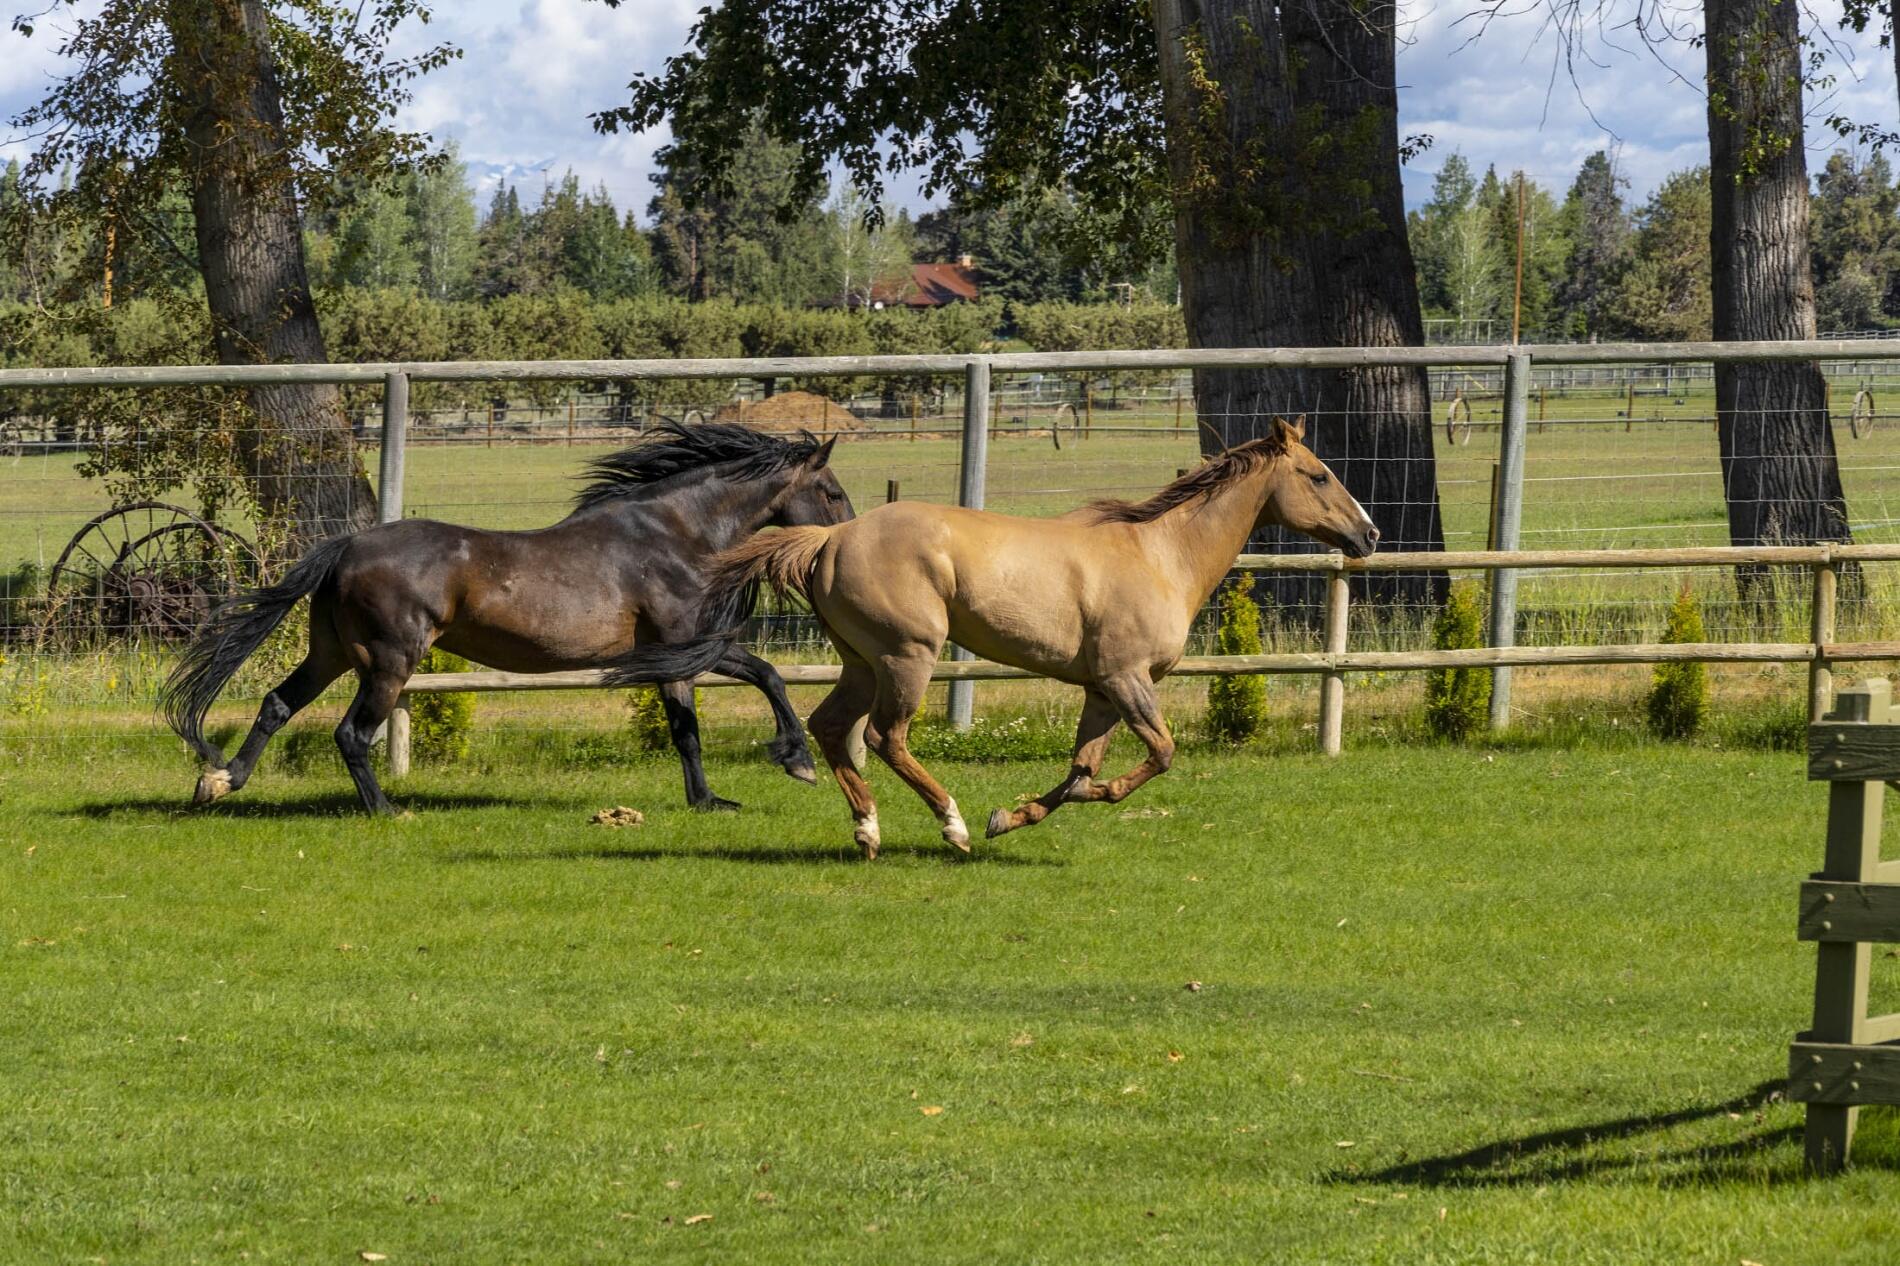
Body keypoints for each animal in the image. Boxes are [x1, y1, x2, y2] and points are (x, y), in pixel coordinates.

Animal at [161, 422, 854, 815]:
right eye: (832, 492)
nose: (849, 537)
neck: (675, 535)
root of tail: (346, 548)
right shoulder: (687, 643)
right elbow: (767, 676)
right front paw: (797, 761)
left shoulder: (674, 658)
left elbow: (687, 730)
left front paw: (708, 802)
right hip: (389, 662)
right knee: (351, 734)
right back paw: (387, 811)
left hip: (331, 653)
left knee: (279, 704)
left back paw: (218, 781)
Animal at [605, 416, 1377, 858]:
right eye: (1319, 475)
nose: (1368, 534)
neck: (1160, 554)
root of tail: (829, 538)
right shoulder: (1127, 679)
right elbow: (1156, 758)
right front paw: (998, 818)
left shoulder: (1101, 690)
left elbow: (1081, 773)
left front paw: (1013, 814)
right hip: (907, 657)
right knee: (885, 736)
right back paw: (951, 826)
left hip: (861, 661)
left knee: (831, 730)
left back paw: (869, 831)